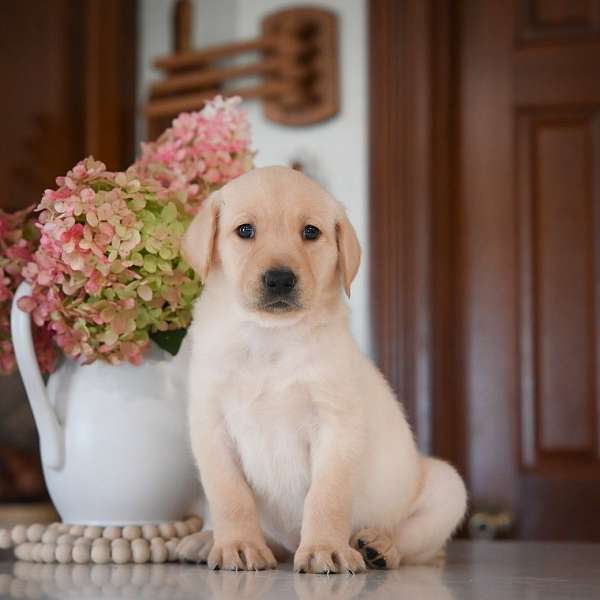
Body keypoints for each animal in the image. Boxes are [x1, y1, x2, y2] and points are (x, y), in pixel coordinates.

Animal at [176, 166, 466, 576]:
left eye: (311, 232)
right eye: (245, 230)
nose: (280, 279)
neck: (270, 338)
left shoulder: (336, 426)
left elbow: (326, 497)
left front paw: (325, 548)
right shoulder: (211, 428)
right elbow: (230, 497)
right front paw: (239, 545)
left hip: (446, 486)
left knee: (412, 542)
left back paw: (378, 546)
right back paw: (208, 541)